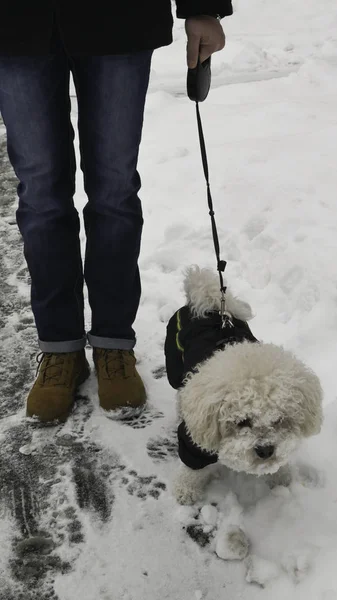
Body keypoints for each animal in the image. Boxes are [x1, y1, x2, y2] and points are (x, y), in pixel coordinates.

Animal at [164, 268, 322, 510]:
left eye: (279, 420)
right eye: (241, 422)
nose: (265, 450)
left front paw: (281, 477)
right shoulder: (195, 439)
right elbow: (192, 466)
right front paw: (186, 490)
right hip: (174, 365)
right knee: (180, 392)